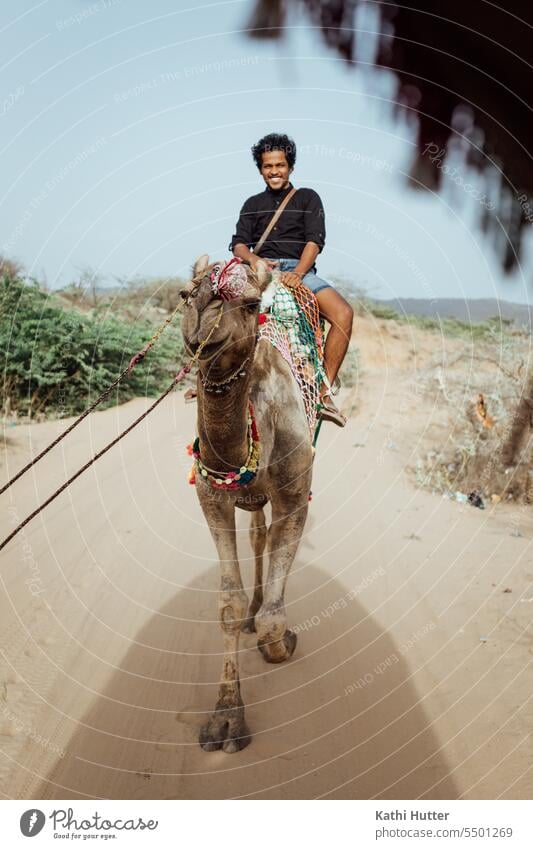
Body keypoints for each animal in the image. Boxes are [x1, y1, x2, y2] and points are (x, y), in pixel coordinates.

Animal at [180, 255, 312, 752]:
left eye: (251, 303)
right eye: (185, 293)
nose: (204, 306)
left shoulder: (295, 494)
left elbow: (276, 618)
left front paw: (281, 642)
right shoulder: (211, 496)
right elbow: (230, 607)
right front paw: (225, 719)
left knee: (265, 536)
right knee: (258, 534)